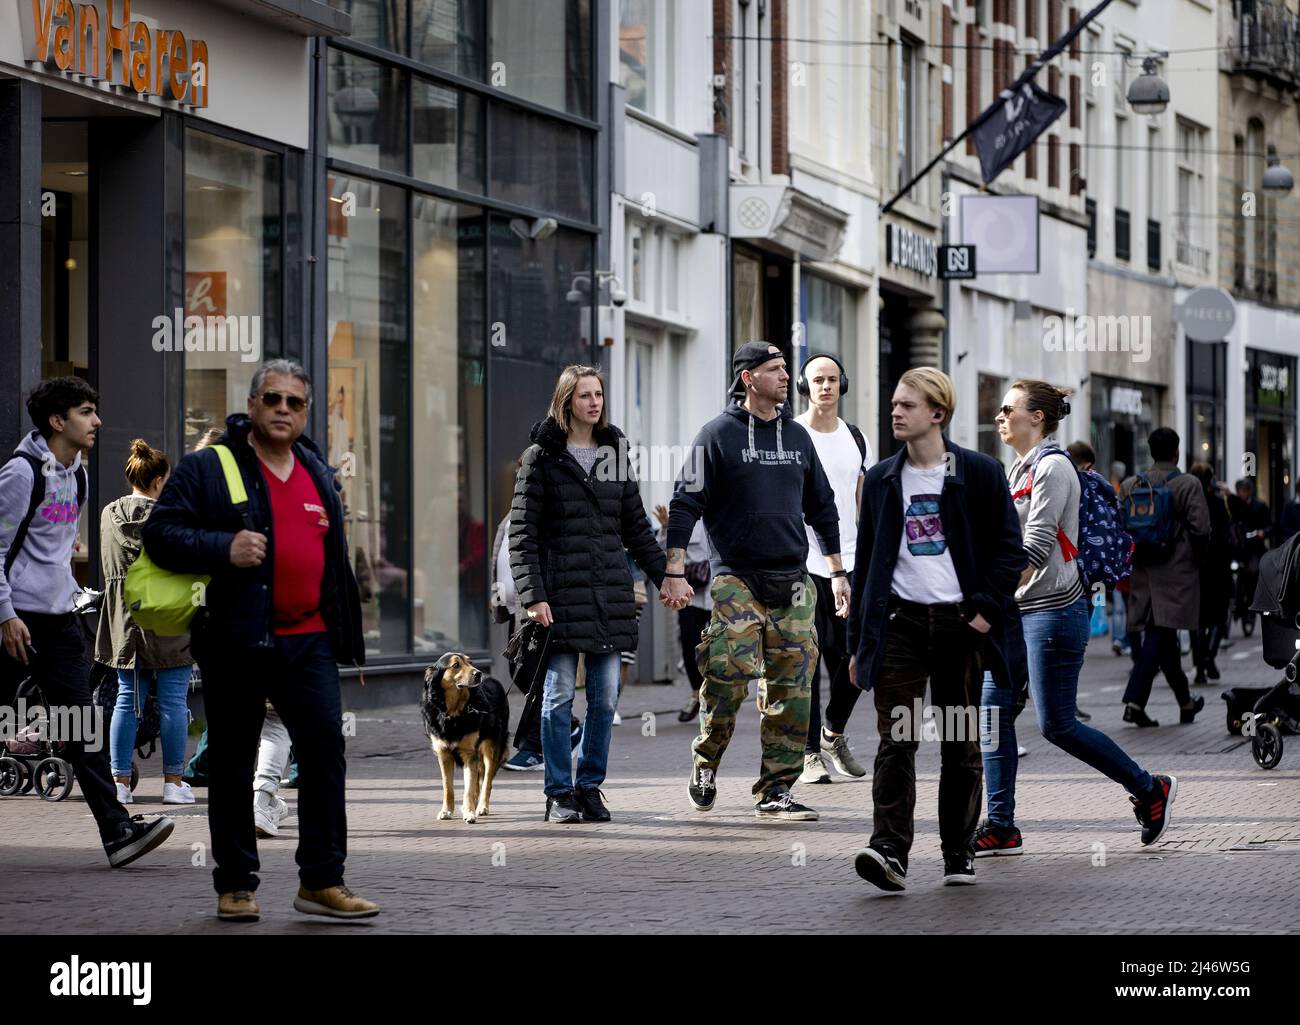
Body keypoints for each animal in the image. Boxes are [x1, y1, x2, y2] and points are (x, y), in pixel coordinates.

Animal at [423, 655, 509, 827]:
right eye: (456, 665)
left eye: (470, 662)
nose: (479, 673)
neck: (453, 713)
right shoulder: (444, 754)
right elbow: (448, 787)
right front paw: (447, 811)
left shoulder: (470, 754)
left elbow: (469, 788)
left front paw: (470, 813)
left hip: (491, 748)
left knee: (486, 781)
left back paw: (481, 807)